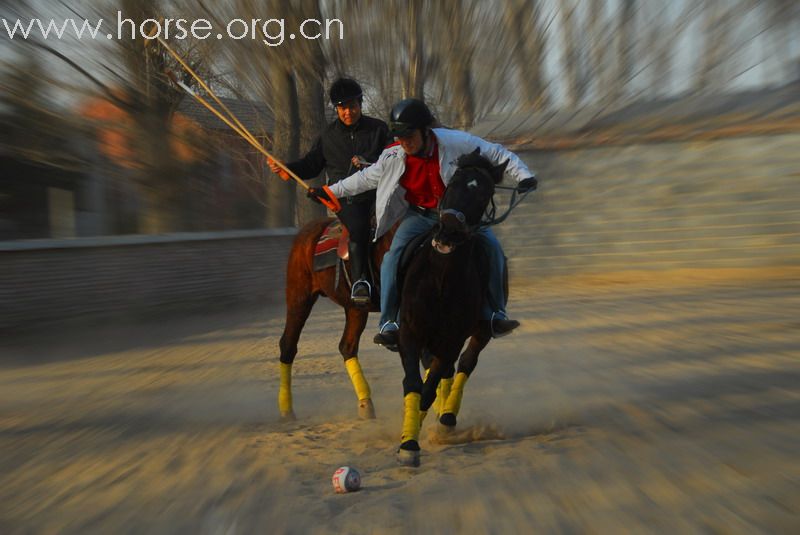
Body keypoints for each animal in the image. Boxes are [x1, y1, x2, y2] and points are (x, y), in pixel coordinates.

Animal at [278, 218, 394, 422]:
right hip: (299, 297)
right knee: (288, 344)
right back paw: (286, 410)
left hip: (354, 307)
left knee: (347, 346)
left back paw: (366, 403)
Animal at [396, 150, 510, 464]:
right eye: (453, 182)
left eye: (483, 193)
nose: (447, 231)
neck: (441, 278)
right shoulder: (410, 332)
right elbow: (414, 384)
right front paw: (408, 441)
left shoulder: (453, 338)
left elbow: (430, 387)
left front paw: (419, 432)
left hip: (480, 332)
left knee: (465, 364)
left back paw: (447, 416)